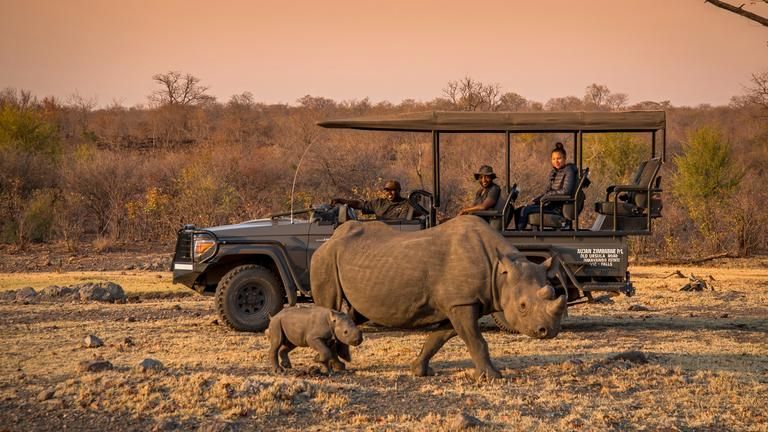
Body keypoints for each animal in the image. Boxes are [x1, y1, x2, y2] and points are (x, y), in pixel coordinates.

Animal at [310, 216, 566, 379]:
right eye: (522, 306)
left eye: (555, 293)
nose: (548, 331)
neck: (500, 271)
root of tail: (327, 241)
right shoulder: (462, 302)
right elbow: (476, 340)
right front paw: (493, 377)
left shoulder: (458, 302)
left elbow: (440, 337)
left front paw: (419, 371)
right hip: (324, 259)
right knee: (329, 307)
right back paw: (334, 367)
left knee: (353, 313)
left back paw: (341, 362)